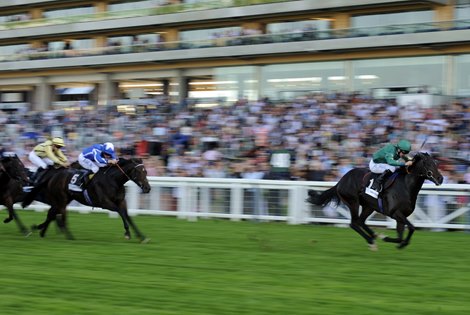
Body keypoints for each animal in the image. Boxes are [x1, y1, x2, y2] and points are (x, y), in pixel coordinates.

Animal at [22, 158, 151, 242]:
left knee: (51, 214)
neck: (113, 180)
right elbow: (121, 212)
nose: (147, 188)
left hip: (62, 200)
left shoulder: (121, 201)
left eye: (146, 171)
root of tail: (53, 176)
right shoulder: (105, 203)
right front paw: (127, 233)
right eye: (138, 172)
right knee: (58, 215)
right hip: (61, 199)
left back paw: (41, 230)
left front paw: (141, 237)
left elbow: (127, 216)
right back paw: (68, 236)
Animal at [306, 152, 442, 251]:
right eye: (426, 163)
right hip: (353, 202)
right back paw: (371, 241)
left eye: (435, 162)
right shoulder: (395, 213)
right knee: (354, 223)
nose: (440, 178)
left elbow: (400, 236)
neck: (405, 186)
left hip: (369, 206)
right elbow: (412, 228)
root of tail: (341, 181)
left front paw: (394, 241)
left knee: (360, 221)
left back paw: (373, 236)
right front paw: (388, 238)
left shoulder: (401, 216)